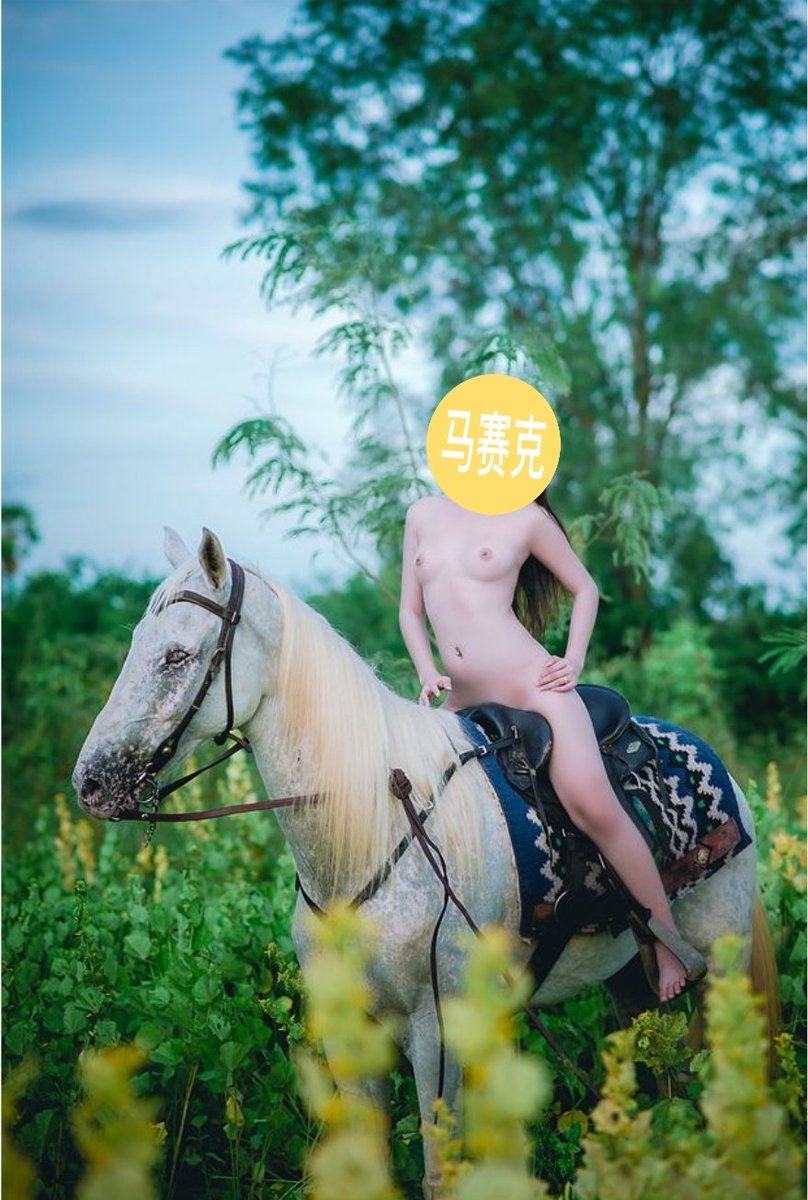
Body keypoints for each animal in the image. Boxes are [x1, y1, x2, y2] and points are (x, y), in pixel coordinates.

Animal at [73, 528, 777, 1194]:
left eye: (177, 655)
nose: (91, 784)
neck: (373, 833)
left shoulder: (436, 1030)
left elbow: (443, 1169)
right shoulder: (351, 1033)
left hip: (721, 964)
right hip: (629, 979)